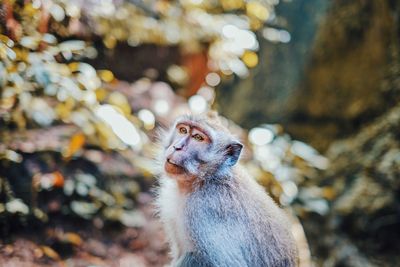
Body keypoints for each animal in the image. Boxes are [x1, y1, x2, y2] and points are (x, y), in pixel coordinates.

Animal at [155, 112, 298, 267]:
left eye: (198, 138)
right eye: (183, 130)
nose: (177, 147)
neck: (204, 180)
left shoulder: (206, 209)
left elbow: (226, 262)